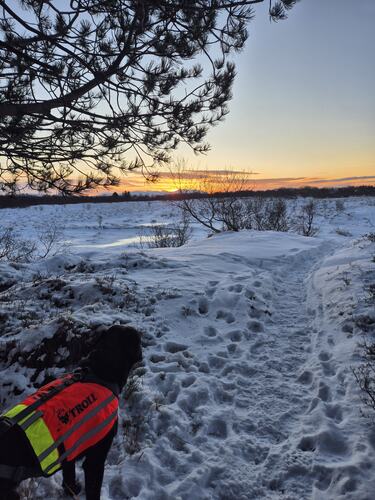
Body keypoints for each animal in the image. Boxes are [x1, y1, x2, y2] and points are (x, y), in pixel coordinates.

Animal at [0, 324, 142, 500]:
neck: (100, 370)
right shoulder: (96, 458)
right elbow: (93, 490)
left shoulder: (69, 452)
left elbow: (69, 477)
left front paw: (72, 491)